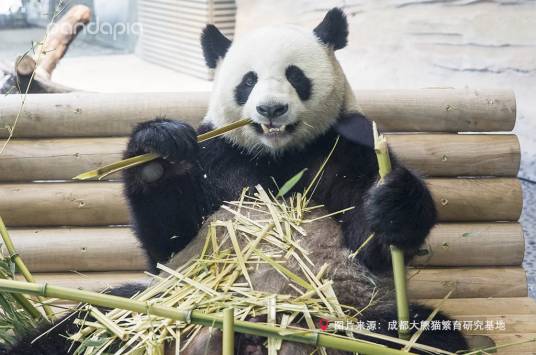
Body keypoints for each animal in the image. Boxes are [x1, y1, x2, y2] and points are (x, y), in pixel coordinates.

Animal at [7, 8, 468, 355]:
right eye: (248, 80)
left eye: (295, 75)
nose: (271, 109)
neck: (279, 155)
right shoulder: (217, 154)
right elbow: (169, 242)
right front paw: (160, 153)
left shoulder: (346, 146)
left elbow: (367, 244)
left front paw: (393, 204)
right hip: (139, 308)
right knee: (75, 328)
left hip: (359, 316)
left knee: (427, 336)